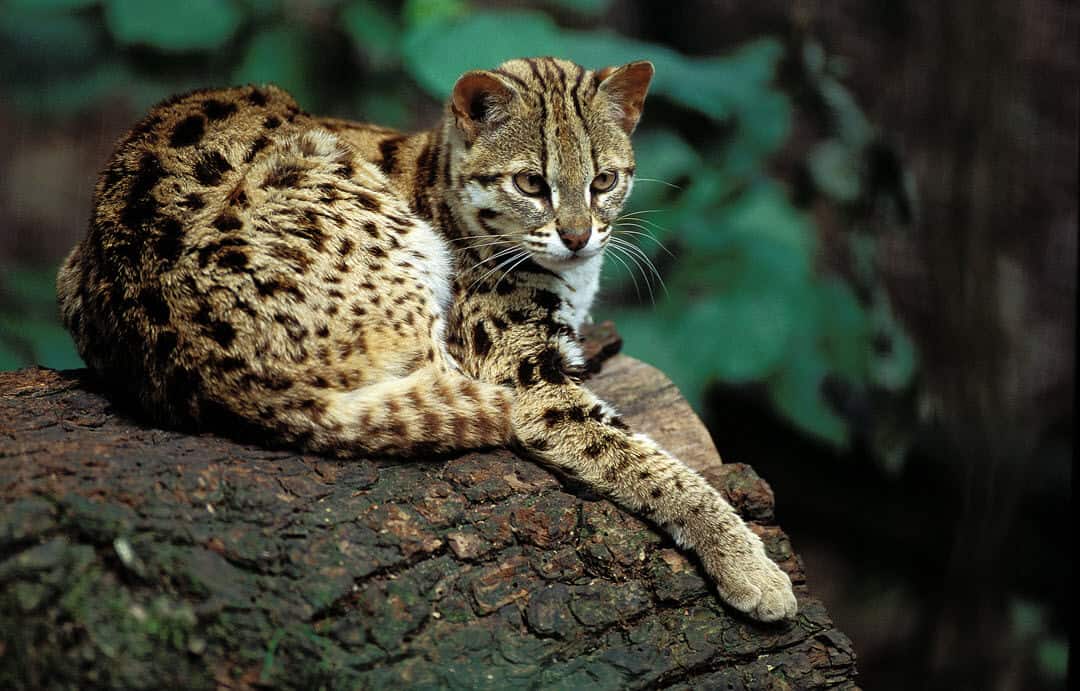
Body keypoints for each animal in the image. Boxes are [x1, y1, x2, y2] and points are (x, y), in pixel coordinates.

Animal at [61, 58, 803, 621]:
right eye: (530, 182)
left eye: (604, 180)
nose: (577, 234)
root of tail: (205, 363)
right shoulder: (523, 377)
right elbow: (650, 465)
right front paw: (750, 564)